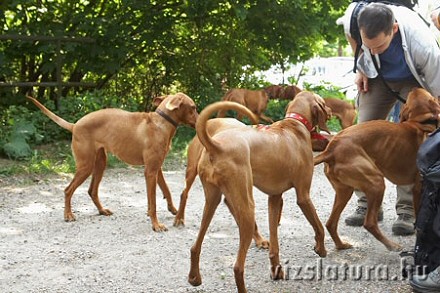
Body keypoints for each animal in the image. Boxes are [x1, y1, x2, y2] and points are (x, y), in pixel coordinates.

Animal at [27, 93, 198, 230]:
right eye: (193, 107)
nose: (201, 120)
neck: (160, 123)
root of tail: (75, 125)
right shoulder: (150, 171)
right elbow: (154, 203)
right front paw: (156, 225)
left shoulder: (157, 169)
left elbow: (166, 190)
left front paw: (173, 209)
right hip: (86, 166)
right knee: (68, 190)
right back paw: (68, 215)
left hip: (100, 163)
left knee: (92, 191)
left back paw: (102, 211)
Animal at [188, 91, 330, 292]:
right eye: (324, 103)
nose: (331, 110)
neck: (294, 124)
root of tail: (215, 145)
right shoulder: (303, 196)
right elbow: (319, 226)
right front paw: (321, 249)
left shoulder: (274, 198)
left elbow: (275, 244)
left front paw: (276, 271)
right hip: (247, 209)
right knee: (237, 267)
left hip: (212, 202)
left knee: (195, 247)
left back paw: (194, 278)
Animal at [312, 88, 440, 250]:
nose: (412, 88)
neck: (421, 123)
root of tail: (331, 149)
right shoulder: (419, 188)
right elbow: (419, 220)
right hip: (376, 183)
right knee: (369, 223)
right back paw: (392, 245)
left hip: (345, 191)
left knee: (330, 223)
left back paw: (341, 245)